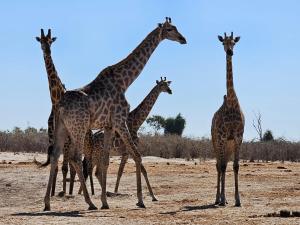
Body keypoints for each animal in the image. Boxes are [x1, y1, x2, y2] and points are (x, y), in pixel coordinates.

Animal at [43, 17, 186, 211]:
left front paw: (105, 201)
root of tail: (59, 105)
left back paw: (47, 203)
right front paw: (141, 200)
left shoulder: (109, 125)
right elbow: (137, 156)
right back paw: (89, 203)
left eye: (176, 28)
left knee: (56, 156)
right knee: (75, 158)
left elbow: (105, 161)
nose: (183, 39)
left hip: (62, 128)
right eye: (171, 29)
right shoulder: (120, 120)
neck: (125, 82)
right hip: (79, 128)